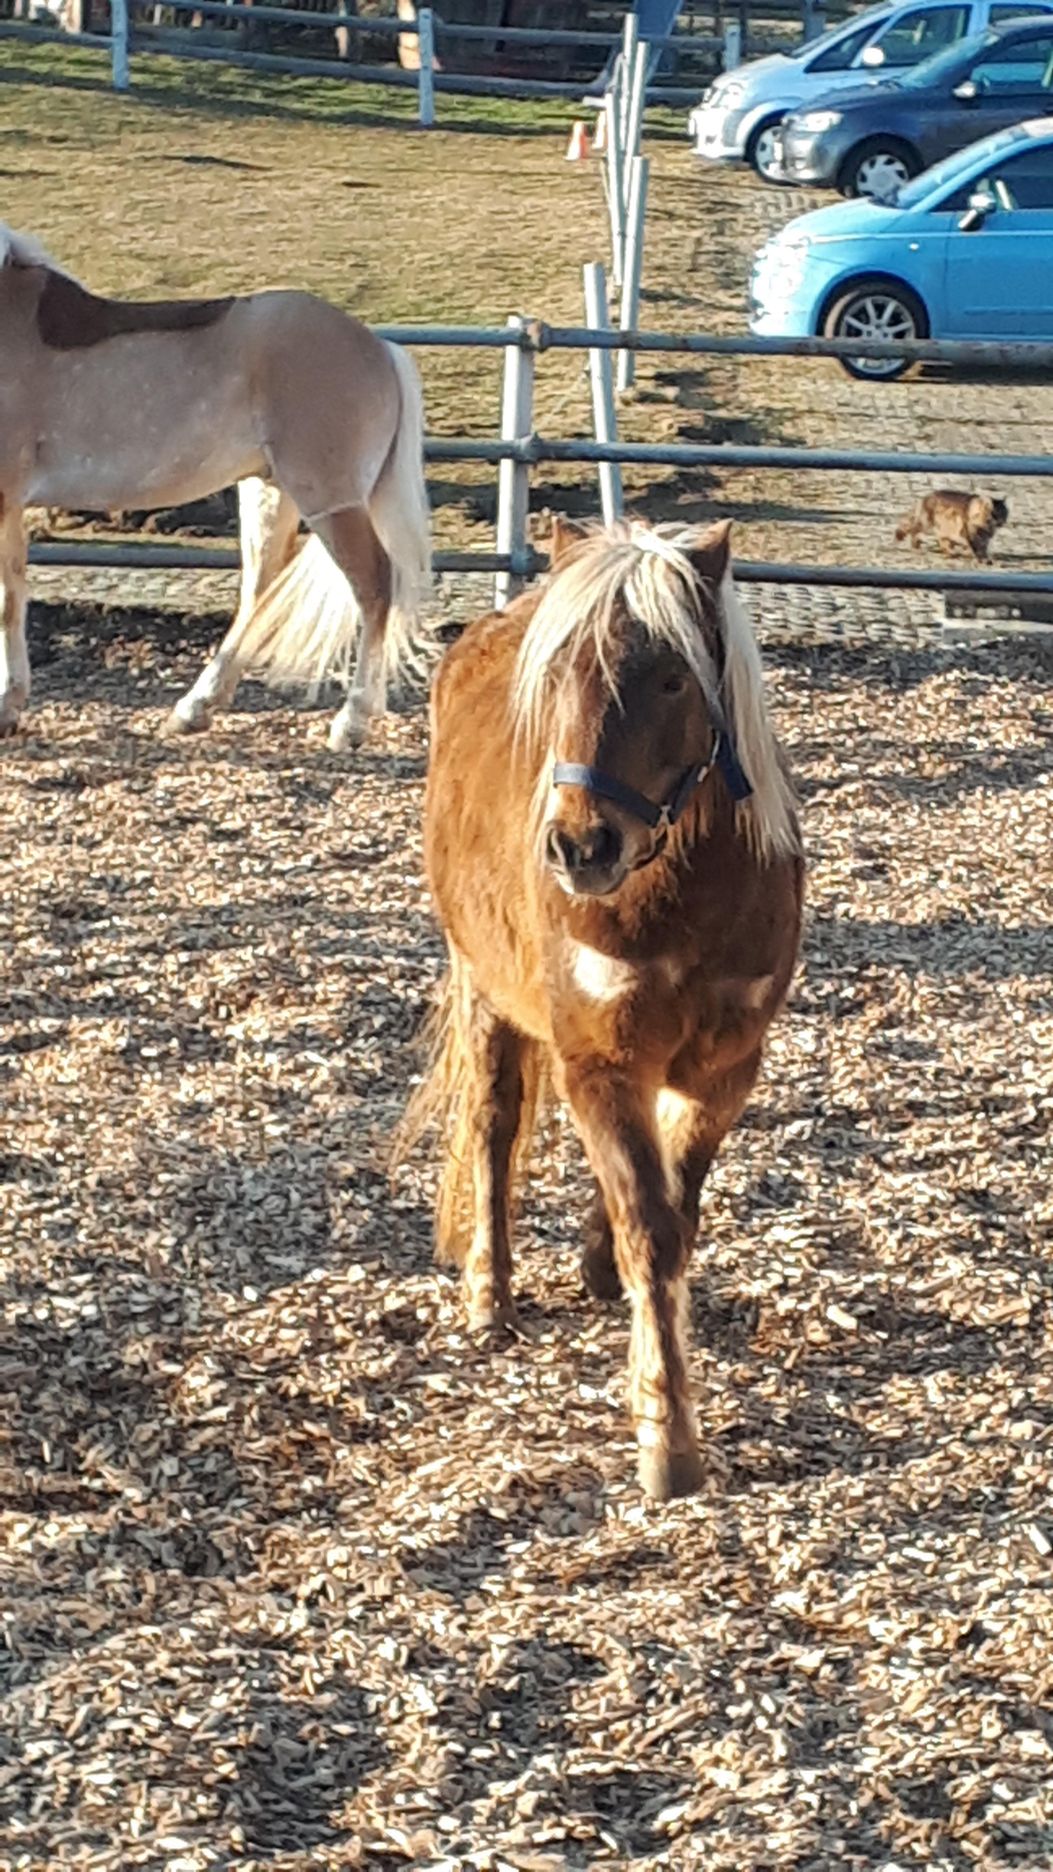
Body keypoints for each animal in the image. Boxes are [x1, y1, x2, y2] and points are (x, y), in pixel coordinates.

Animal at [0, 224, 431, 747]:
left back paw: (350, 723)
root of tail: (380, 347)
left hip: (330, 501)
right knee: (260, 591)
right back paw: (196, 707)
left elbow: (5, 602)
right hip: (268, 491)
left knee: (373, 587)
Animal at [404, 516, 804, 1501]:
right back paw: (489, 1297)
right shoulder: (597, 1059)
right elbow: (650, 1229)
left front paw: (603, 1266)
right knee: (492, 1128)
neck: (677, 890)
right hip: (483, 990)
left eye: (671, 677)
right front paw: (668, 1439)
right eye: (556, 677)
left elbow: (671, 1206)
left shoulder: (725, 1065)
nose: (580, 846)